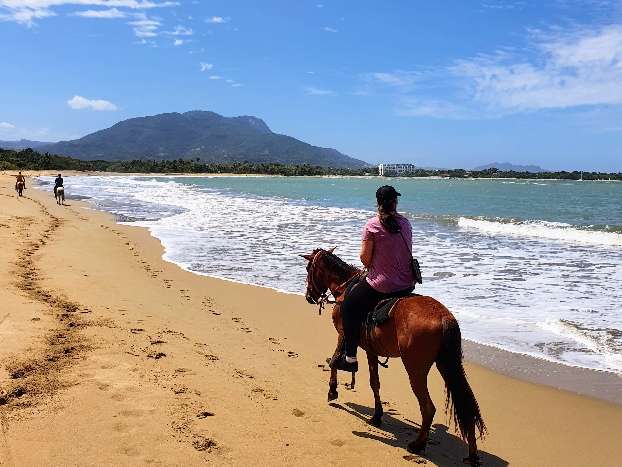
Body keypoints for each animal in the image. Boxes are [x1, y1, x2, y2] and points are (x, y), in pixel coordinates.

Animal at [302, 247, 488, 466]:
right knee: (466, 404)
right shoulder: (371, 350)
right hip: (447, 364)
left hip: (415, 370)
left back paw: (417, 445)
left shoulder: (343, 334)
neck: (344, 287)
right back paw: (472, 454)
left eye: (308, 268)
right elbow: (375, 382)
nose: (309, 296)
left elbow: (334, 361)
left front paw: (332, 391)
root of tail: (444, 317)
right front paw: (377, 416)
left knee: (428, 408)